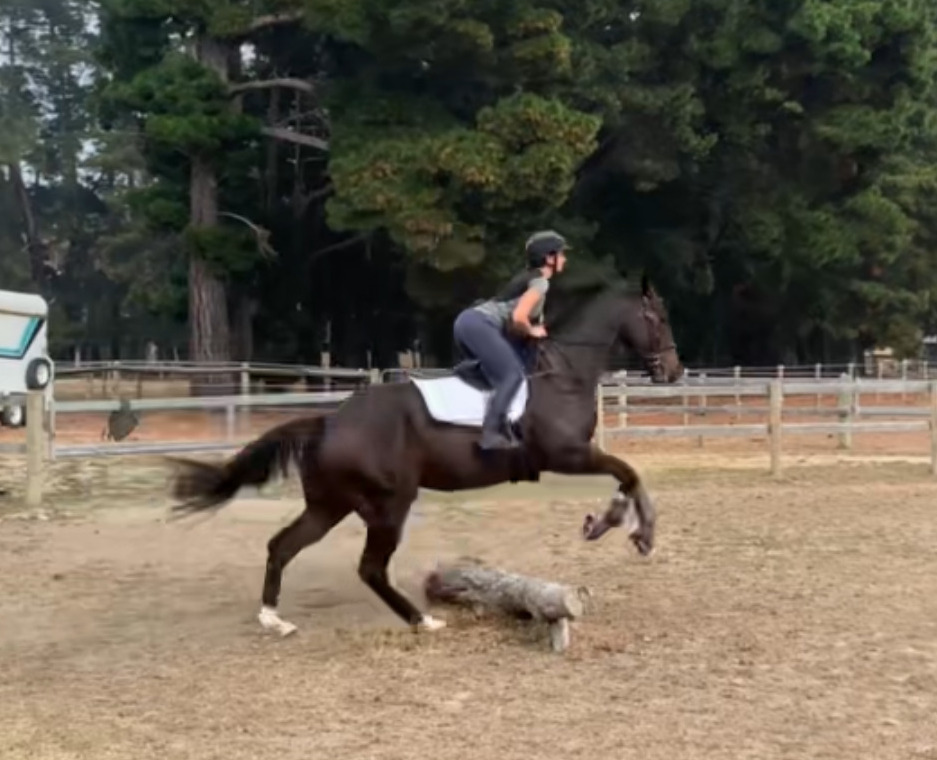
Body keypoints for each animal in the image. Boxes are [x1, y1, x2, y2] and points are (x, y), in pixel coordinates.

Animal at [168, 270, 683, 636]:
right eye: (658, 318)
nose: (674, 371)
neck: (564, 374)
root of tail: (329, 422)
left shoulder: (574, 456)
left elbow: (626, 477)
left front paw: (610, 525)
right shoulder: (567, 455)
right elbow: (630, 473)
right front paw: (635, 533)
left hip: (331, 505)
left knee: (282, 546)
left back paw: (274, 619)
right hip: (388, 503)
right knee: (370, 568)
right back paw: (424, 621)